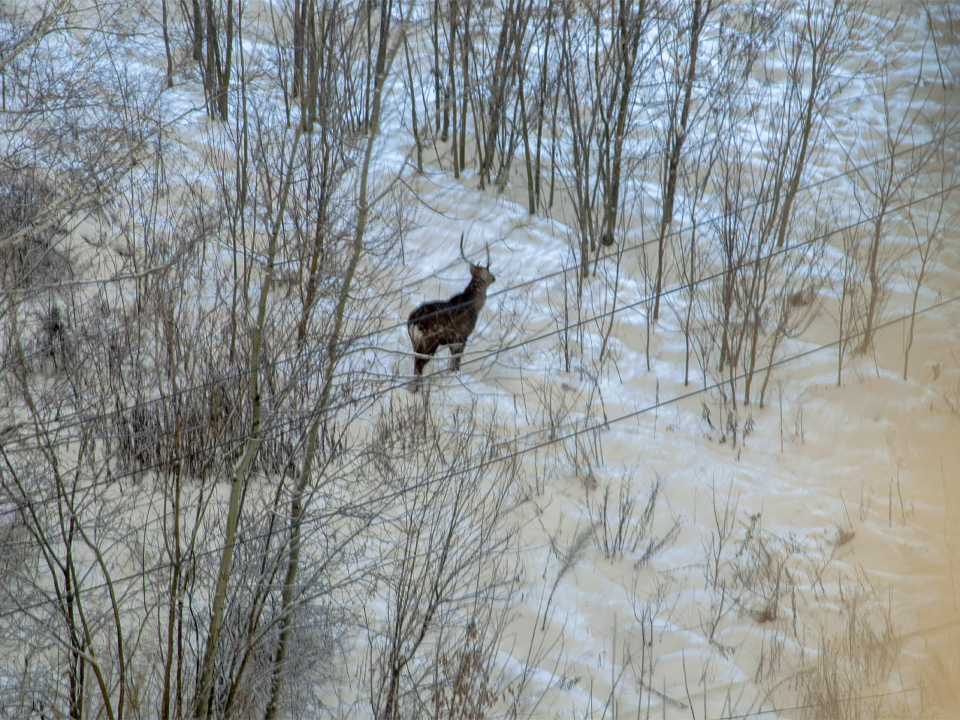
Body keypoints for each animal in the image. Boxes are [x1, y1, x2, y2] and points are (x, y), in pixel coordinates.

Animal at [404, 235, 496, 382]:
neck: (473, 305)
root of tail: (413, 321)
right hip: (430, 340)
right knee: (419, 364)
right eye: (487, 271)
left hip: (416, 342)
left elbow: (451, 366)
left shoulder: (452, 341)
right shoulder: (462, 335)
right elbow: (456, 365)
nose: (494, 278)